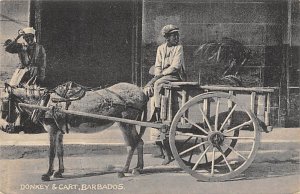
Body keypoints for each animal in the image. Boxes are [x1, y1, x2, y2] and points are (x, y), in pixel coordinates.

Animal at [2, 82, 148, 180]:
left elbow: (51, 153)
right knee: (139, 142)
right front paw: (59, 172)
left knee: (131, 145)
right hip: (130, 124)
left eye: (3, 101)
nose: (5, 127)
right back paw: (138, 168)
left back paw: (124, 170)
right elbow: (60, 151)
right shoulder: (59, 131)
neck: (45, 102)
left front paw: (47, 174)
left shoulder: (52, 130)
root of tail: (142, 92)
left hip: (125, 123)